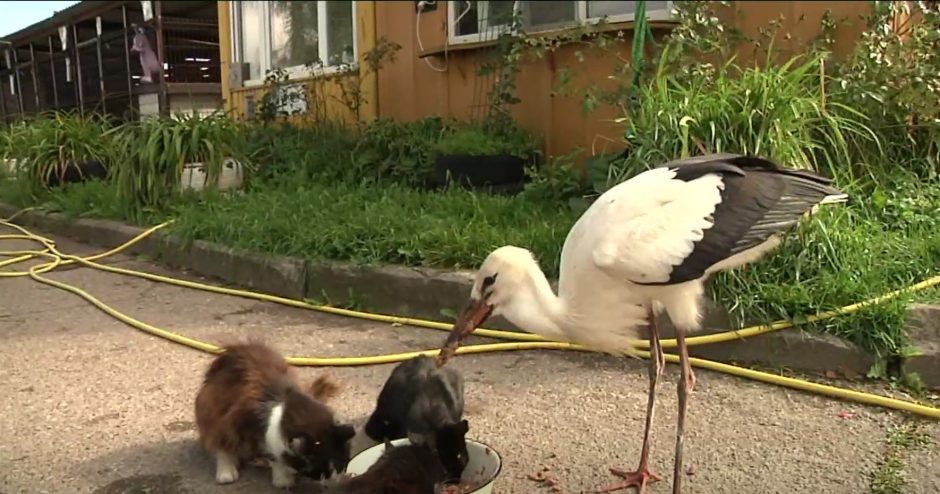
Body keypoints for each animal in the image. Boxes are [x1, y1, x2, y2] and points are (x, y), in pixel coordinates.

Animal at [193, 342, 354, 488]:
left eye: (339, 465)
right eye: (319, 471)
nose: (330, 480)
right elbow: (274, 456)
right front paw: (283, 478)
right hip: (214, 415)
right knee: (221, 444)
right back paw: (226, 472)